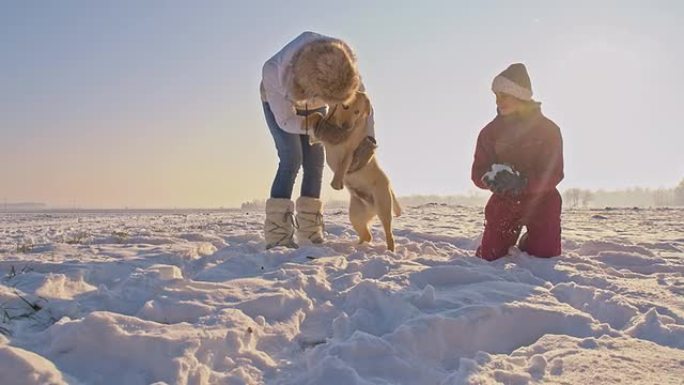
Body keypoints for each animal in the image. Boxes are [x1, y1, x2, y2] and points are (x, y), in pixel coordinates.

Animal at [312, 91, 400, 250]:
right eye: (345, 106)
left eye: (357, 112)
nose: (347, 126)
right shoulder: (323, 137)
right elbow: (317, 117)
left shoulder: (351, 152)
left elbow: (343, 165)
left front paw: (336, 182)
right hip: (355, 215)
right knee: (367, 235)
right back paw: (357, 246)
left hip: (383, 209)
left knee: (389, 235)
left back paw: (390, 251)